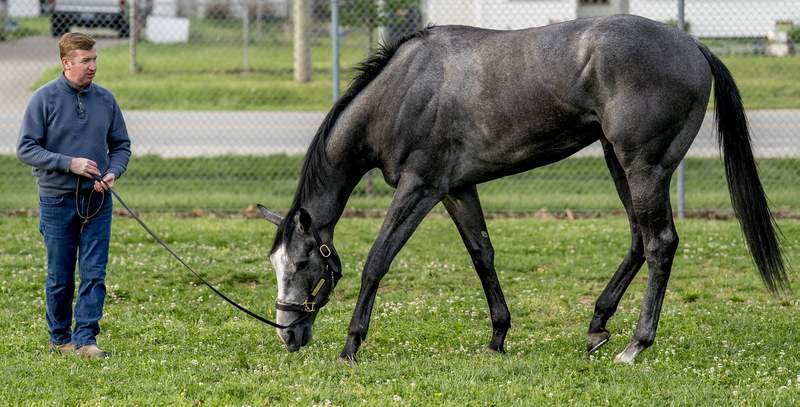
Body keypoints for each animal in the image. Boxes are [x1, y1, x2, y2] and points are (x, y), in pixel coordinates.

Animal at [257, 14, 788, 363]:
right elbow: (482, 255)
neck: (404, 91)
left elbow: (378, 260)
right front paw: (498, 336)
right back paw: (597, 328)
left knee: (660, 244)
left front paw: (351, 344)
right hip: (620, 164)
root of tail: (693, 45)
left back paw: (635, 345)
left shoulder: (419, 188)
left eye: (302, 263)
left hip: (643, 167)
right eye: (275, 264)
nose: (287, 334)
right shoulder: (458, 189)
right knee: (640, 240)